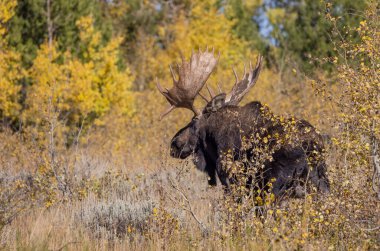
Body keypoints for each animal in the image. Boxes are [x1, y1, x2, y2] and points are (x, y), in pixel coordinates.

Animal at [157, 48, 330, 197]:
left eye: (193, 122)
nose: (174, 143)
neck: (213, 139)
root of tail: (313, 148)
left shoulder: (229, 175)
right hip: (320, 181)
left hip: (275, 185)